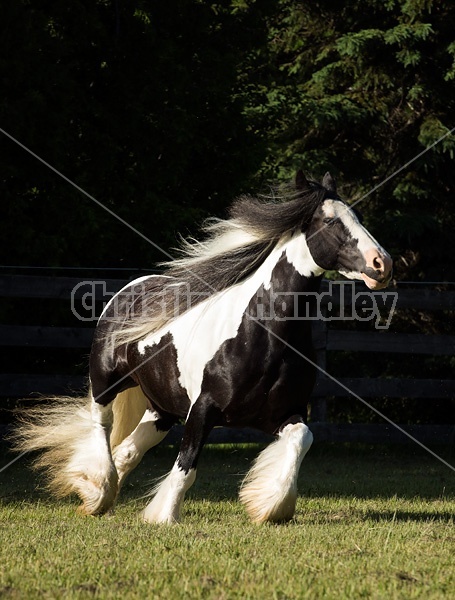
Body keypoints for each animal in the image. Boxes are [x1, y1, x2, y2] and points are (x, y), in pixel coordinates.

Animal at [14, 171, 392, 524]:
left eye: (357, 216)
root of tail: (131, 288)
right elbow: (186, 466)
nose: (382, 263)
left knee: (127, 450)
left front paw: (270, 507)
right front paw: (164, 516)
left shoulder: (285, 413)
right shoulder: (203, 409)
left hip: (162, 407)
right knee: (101, 427)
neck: (263, 336)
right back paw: (98, 493)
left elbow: (303, 439)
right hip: (106, 382)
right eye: (330, 221)